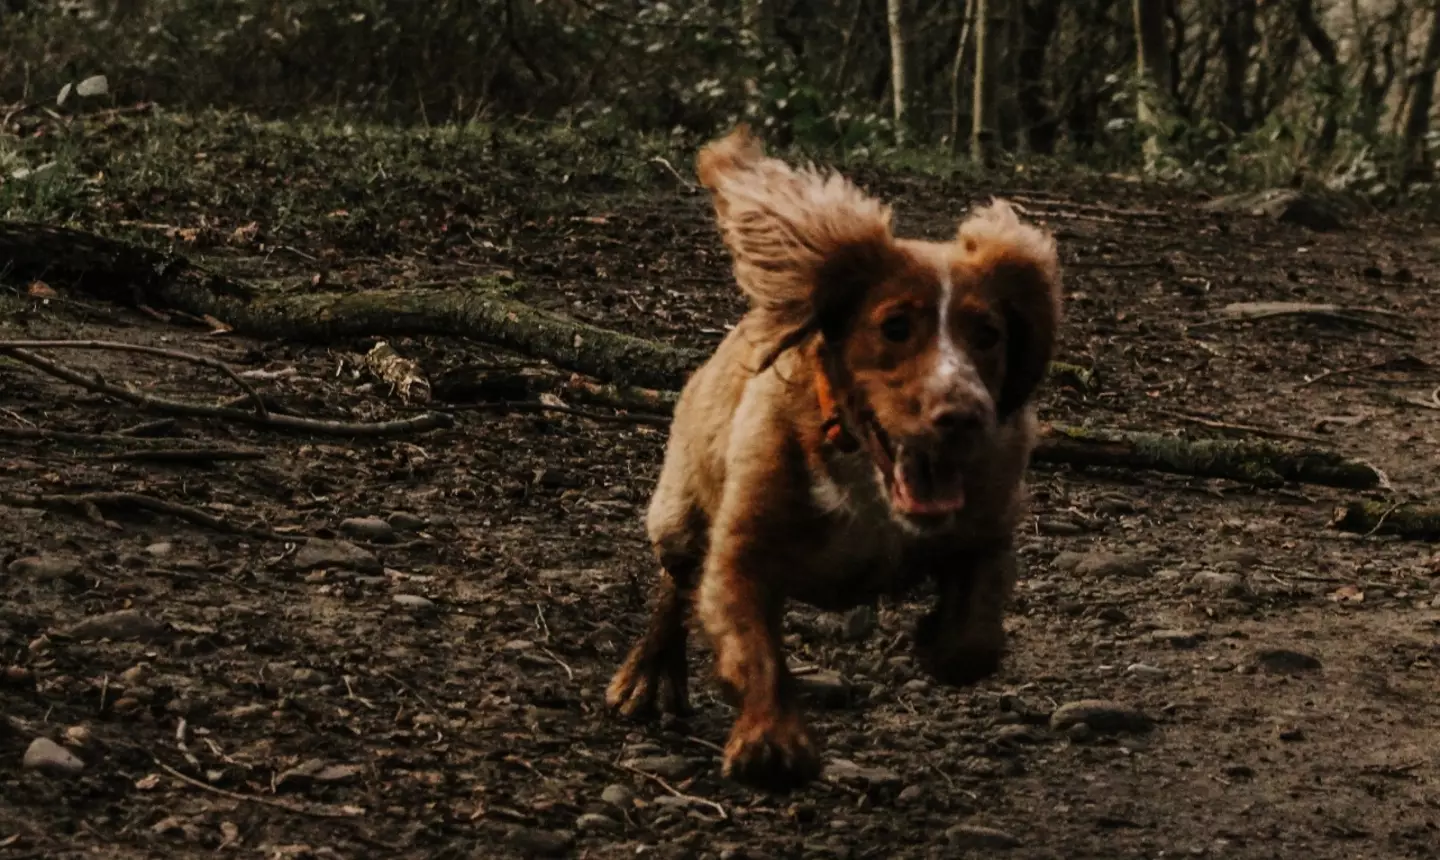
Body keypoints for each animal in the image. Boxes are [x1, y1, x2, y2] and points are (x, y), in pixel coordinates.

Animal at [601, 126, 1065, 789]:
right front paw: (772, 740)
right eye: (895, 327)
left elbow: (976, 637)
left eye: (989, 334)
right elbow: (754, 646)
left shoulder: (990, 524)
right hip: (681, 512)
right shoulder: (741, 550)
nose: (964, 415)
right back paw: (645, 678)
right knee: (675, 585)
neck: (870, 481)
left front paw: (938, 640)